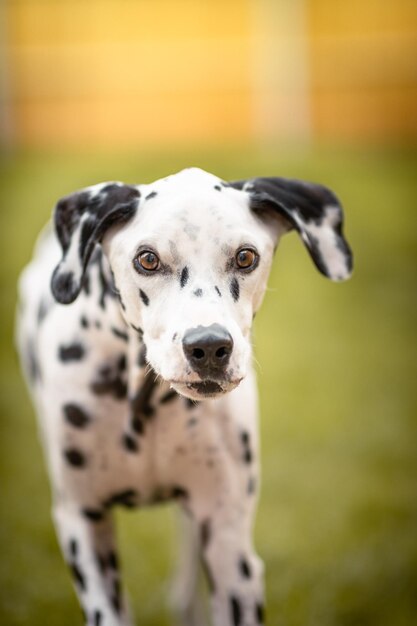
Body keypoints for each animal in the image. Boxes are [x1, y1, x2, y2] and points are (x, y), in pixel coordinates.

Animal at [17, 167, 352, 624]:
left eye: (245, 257)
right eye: (148, 258)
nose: (209, 347)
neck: (145, 404)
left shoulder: (230, 547)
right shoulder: (84, 524)